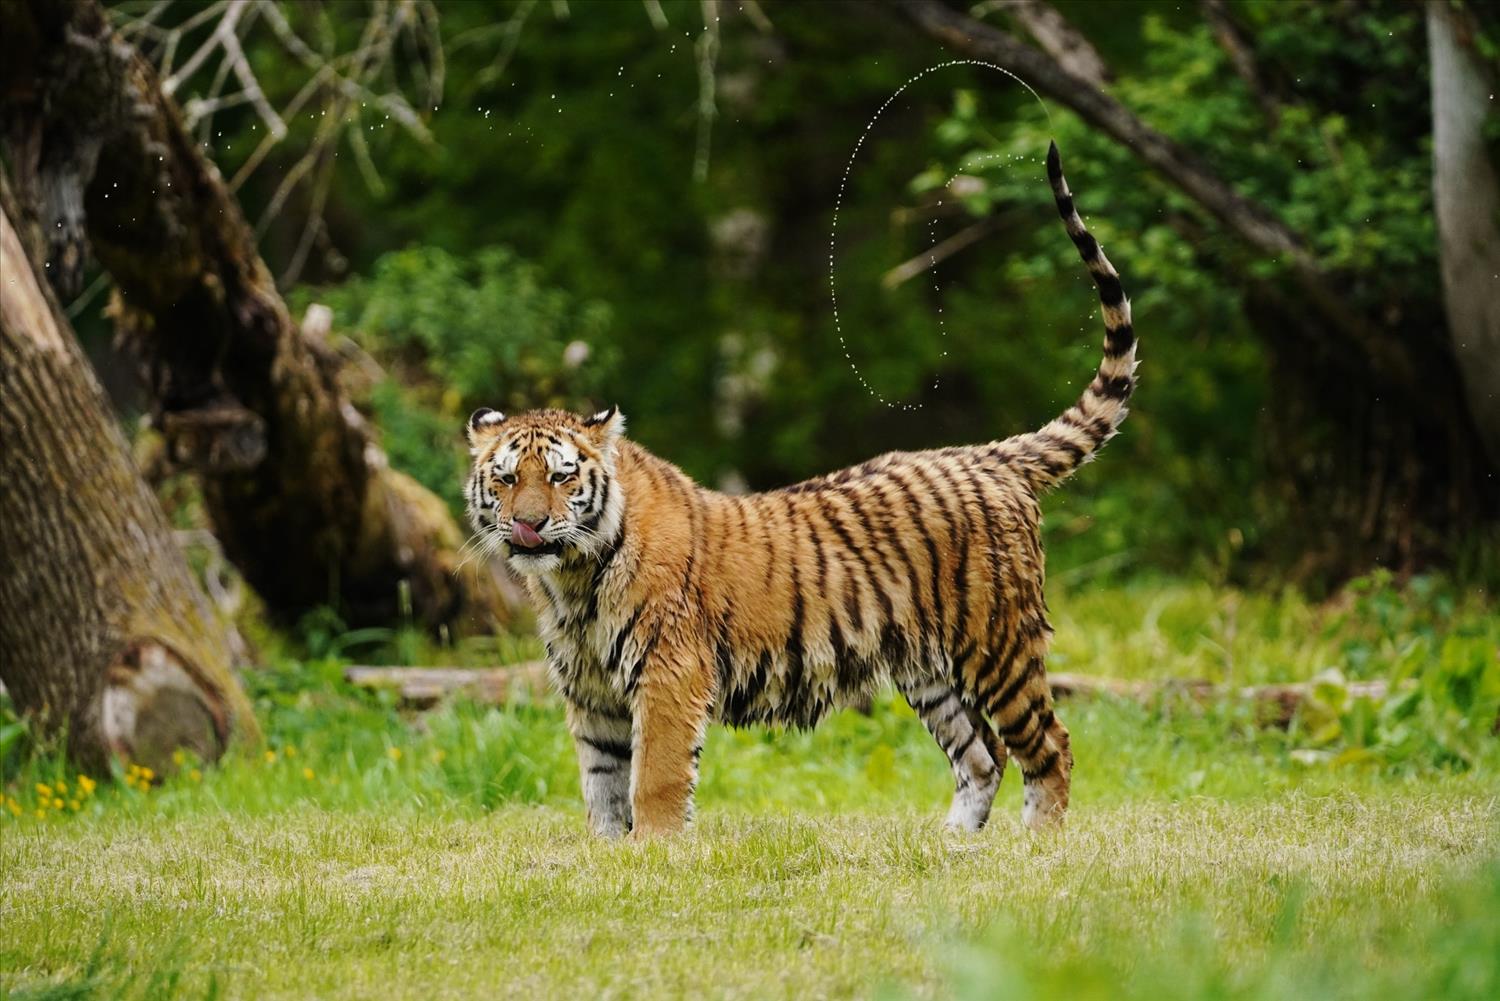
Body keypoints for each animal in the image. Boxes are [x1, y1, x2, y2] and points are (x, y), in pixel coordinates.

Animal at [462, 142, 1128, 840]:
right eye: (506, 478)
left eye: (561, 476)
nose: (529, 525)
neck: (571, 578)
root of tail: (987, 455)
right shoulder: (591, 689)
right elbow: (601, 784)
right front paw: (610, 853)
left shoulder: (669, 672)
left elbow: (654, 779)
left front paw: (657, 850)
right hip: (929, 670)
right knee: (982, 754)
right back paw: (954, 845)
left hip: (998, 643)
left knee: (1050, 745)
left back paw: (1037, 844)